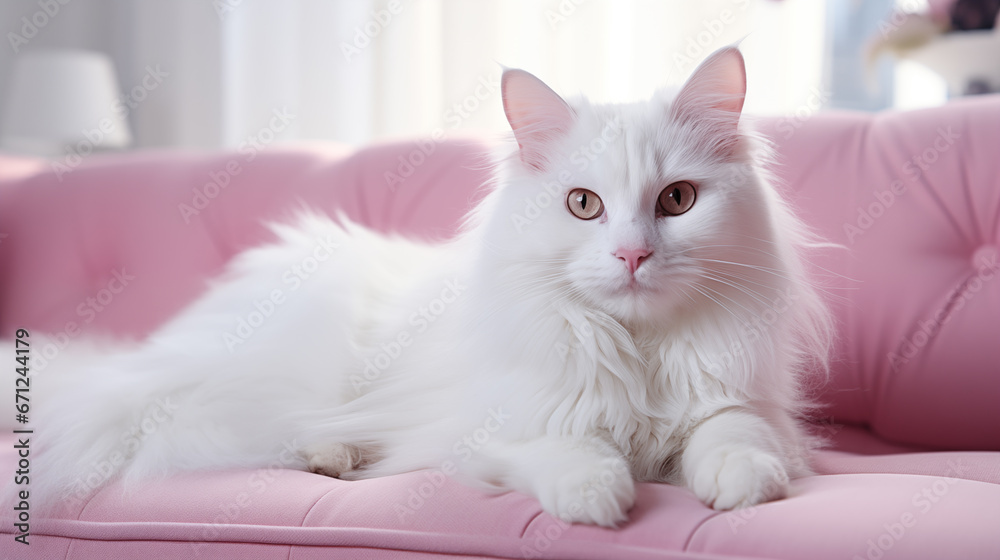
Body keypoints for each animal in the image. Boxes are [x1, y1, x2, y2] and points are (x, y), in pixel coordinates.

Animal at [25, 47, 836, 524]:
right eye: (584, 205)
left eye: (677, 201)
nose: (632, 255)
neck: (634, 350)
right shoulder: (495, 429)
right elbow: (571, 449)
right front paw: (596, 500)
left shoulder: (740, 405)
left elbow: (733, 438)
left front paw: (742, 483)